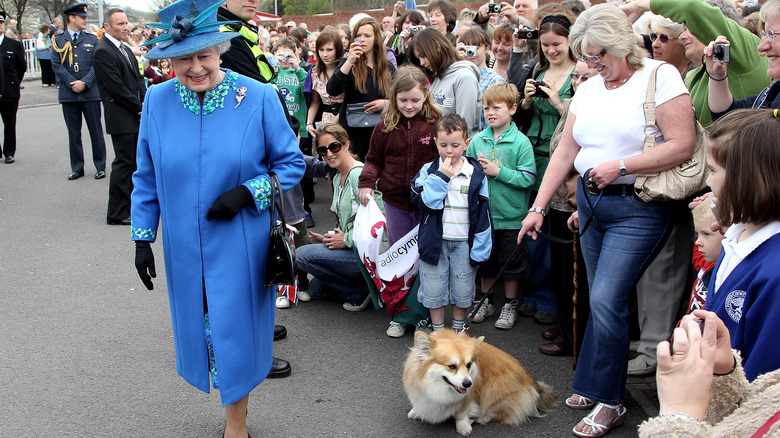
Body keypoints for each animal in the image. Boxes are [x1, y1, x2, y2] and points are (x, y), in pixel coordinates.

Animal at [402, 328, 556, 434]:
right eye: (452, 366)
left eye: (469, 365)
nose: (468, 383)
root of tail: (534, 386)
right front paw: (416, 412)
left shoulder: (468, 398)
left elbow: (461, 414)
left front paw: (463, 427)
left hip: (493, 390)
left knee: (502, 414)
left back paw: (481, 418)